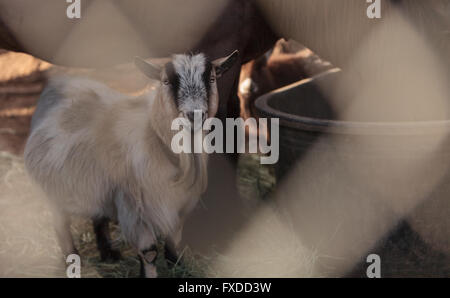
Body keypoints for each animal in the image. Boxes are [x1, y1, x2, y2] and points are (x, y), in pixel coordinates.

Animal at [22, 50, 239, 278]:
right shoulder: (134, 207)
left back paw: (108, 254)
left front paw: (177, 266)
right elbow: (149, 251)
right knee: (60, 225)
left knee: (98, 217)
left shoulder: (180, 203)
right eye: (165, 81)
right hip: (52, 191)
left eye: (212, 79)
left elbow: (174, 239)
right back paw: (72, 260)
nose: (194, 115)